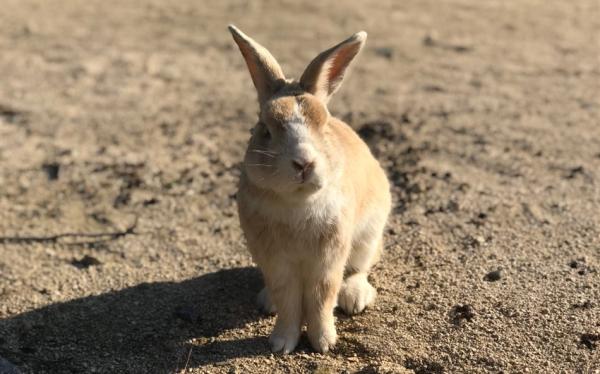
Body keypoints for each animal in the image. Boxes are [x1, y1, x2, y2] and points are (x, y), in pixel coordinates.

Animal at [227, 24, 392, 354]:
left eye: (324, 124)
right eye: (264, 129)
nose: (303, 163)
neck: (297, 202)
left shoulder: (328, 259)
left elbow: (322, 298)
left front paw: (324, 343)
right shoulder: (275, 260)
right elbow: (288, 300)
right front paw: (282, 344)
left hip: (368, 236)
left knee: (359, 269)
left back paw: (355, 298)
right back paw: (266, 301)